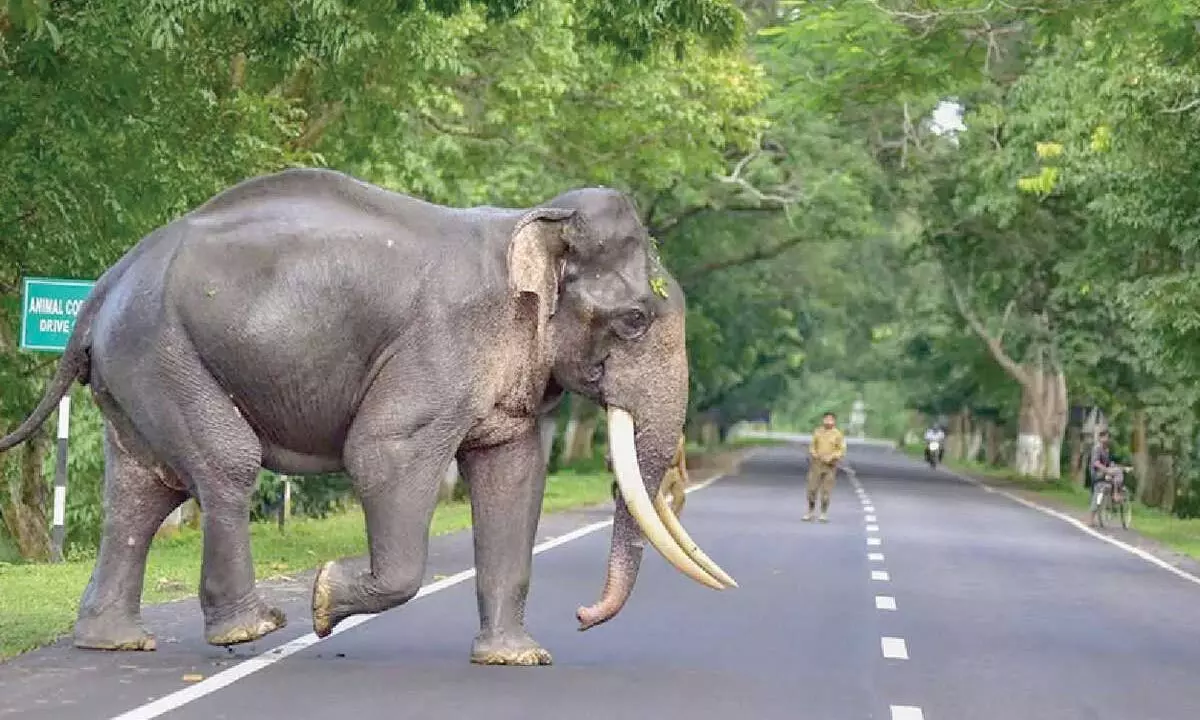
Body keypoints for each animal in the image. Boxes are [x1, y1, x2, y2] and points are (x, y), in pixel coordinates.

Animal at [0, 167, 736, 666]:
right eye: (635, 320)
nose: (584, 617)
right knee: (223, 466)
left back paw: (115, 642)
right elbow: (382, 451)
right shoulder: (439, 346)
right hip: (163, 351)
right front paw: (325, 599)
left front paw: (517, 657)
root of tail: (102, 288)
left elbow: (514, 476)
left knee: (141, 490)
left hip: (137, 370)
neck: (532, 221)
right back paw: (255, 627)